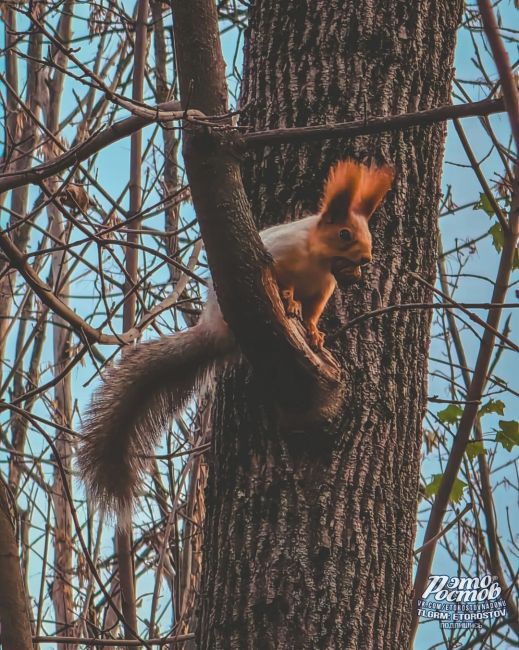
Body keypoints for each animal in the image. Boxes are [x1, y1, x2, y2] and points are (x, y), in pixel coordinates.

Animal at [77, 161, 394, 520]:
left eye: (368, 237)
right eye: (344, 234)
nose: (366, 259)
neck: (317, 259)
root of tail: (212, 332)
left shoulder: (324, 288)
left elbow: (314, 314)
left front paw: (315, 334)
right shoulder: (280, 258)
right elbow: (284, 283)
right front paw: (289, 301)